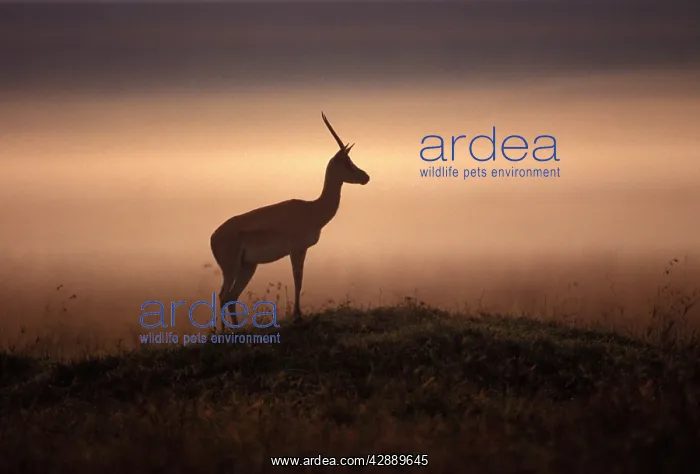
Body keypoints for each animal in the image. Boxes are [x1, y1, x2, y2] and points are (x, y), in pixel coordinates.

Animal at [210, 112, 370, 330]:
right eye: (347, 163)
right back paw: (227, 332)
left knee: (231, 296)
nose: (365, 177)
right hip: (232, 268)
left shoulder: (302, 250)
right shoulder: (296, 249)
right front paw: (297, 317)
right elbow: (297, 279)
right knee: (223, 295)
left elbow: (299, 279)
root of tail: (213, 236)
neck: (312, 209)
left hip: (248, 266)